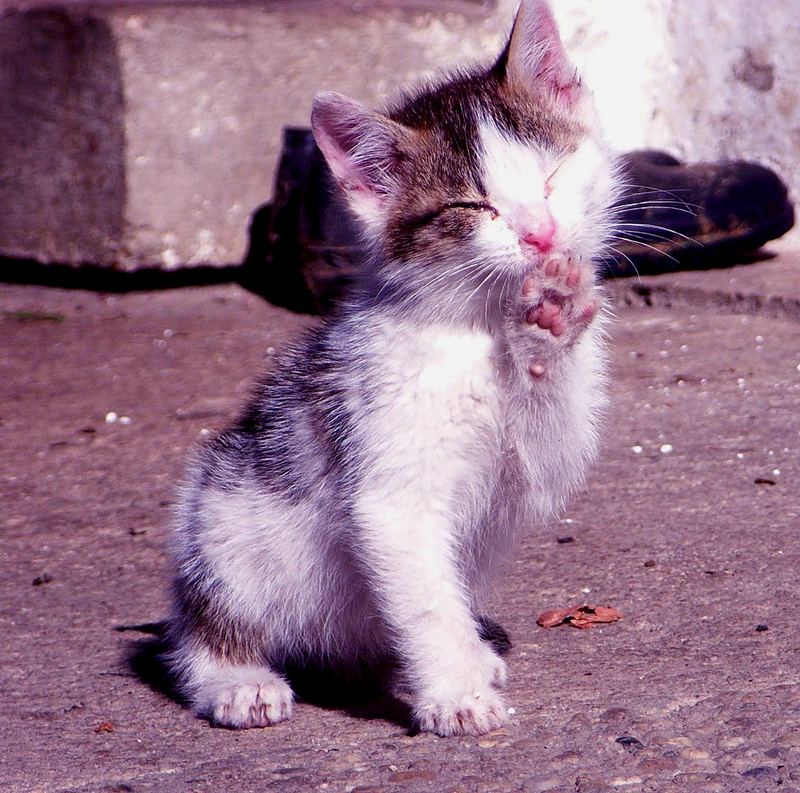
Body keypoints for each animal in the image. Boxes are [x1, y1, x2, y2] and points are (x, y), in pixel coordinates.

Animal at [166, 0, 620, 736]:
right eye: (473, 206)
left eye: (551, 173)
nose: (541, 234)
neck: (479, 328)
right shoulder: (388, 481)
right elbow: (424, 597)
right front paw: (456, 694)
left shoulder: (531, 470)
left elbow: (545, 456)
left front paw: (551, 325)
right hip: (223, 521)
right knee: (203, 622)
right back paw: (235, 677)